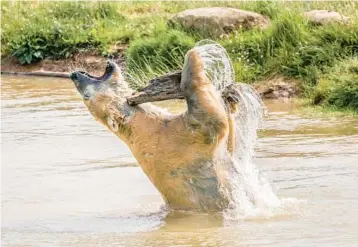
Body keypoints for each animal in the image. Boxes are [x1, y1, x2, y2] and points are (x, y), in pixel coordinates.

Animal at [71, 48, 236, 212]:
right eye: (86, 96)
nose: (74, 75)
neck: (139, 124)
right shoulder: (180, 140)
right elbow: (210, 118)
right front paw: (196, 54)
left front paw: (232, 96)